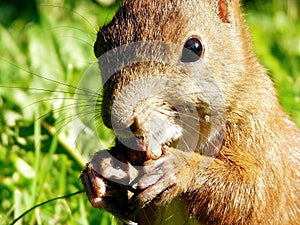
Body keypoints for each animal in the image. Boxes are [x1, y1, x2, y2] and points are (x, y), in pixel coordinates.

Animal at [80, 0, 300, 224]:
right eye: (98, 45)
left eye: (194, 47)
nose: (119, 119)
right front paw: (100, 172)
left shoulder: (265, 146)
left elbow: (253, 196)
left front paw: (176, 167)